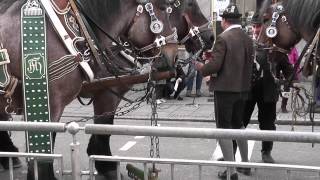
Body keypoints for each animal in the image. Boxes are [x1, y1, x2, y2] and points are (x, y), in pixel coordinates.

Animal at [0, 0, 178, 179]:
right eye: (164, 9)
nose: (175, 54)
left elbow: (103, 127)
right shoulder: (53, 104)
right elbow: (46, 149)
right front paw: (107, 166)